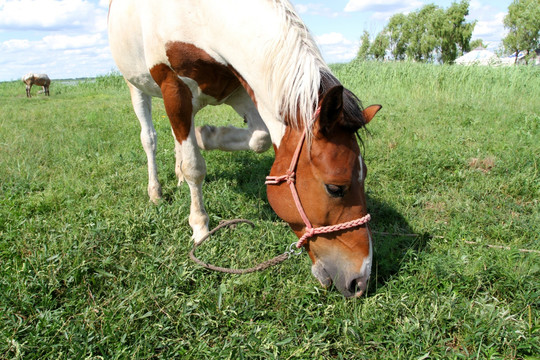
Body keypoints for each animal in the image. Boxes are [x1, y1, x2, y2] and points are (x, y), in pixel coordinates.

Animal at [107, 0, 382, 298]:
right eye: (335, 188)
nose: (360, 280)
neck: (200, 16)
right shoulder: (175, 89)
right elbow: (195, 167)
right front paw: (200, 226)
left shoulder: (239, 87)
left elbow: (260, 137)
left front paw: (206, 136)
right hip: (136, 86)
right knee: (150, 139)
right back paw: (155, 191)